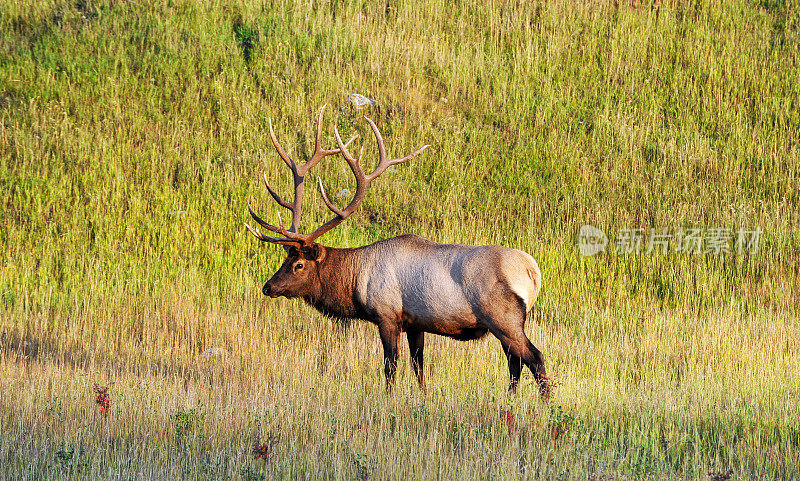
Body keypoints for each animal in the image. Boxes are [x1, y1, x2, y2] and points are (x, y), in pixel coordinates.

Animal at [248, 105, 552, 398]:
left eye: (298, 264)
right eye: (286, 258)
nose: (268, 286)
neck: (355, 281)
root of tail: (533, 272)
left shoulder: (386, 315)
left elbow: (390, 365)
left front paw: (388, 398)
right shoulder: (415, 323)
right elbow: (418, 365)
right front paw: (422, 397)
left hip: (504, 318)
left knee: (534, 358)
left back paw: (545, 402)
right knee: (515, 362)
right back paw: (509, 398)